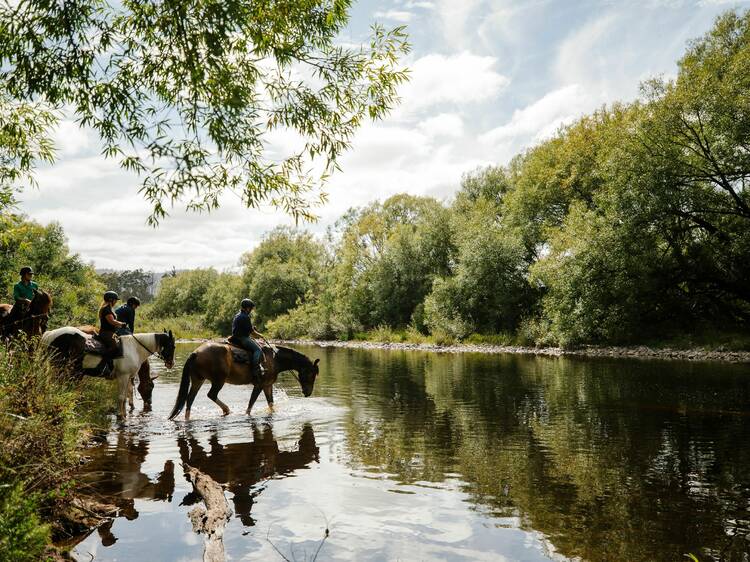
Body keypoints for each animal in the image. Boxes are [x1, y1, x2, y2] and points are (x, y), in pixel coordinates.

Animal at [41, 326, 176, 418]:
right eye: (172, 346)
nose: (171, 363)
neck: (135, 348)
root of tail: (49, 334)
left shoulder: (128, 377)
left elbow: (125, 396)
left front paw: (124, 414)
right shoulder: (123, 376)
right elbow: (121, 397)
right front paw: (120, 416)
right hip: (60, 368)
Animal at [169, 342, 322, 420]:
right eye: (311, 374)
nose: (308, 393)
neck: (275, 359)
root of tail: (195, 353)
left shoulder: (267, 386)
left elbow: (271, 404)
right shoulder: (259, 385)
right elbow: (250, 404)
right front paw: (246, 415)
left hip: (198, 380)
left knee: (190, 399)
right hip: (218, 380)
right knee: (211, 395)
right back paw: (226, 410)